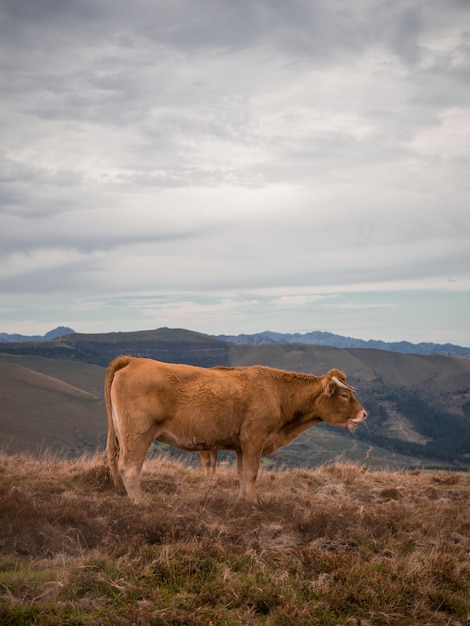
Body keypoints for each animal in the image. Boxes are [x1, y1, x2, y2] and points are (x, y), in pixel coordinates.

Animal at [106, 356, 368, 502]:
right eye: (345, 395)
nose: (364, 414)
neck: (278, 393)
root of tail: (133, 360)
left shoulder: (242, 444)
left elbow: (242, 473)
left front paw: (242, 499)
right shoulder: (255, 438)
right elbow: (252, 473)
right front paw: (254, 502)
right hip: (138, 433)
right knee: (129, 467)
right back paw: (142, 503)